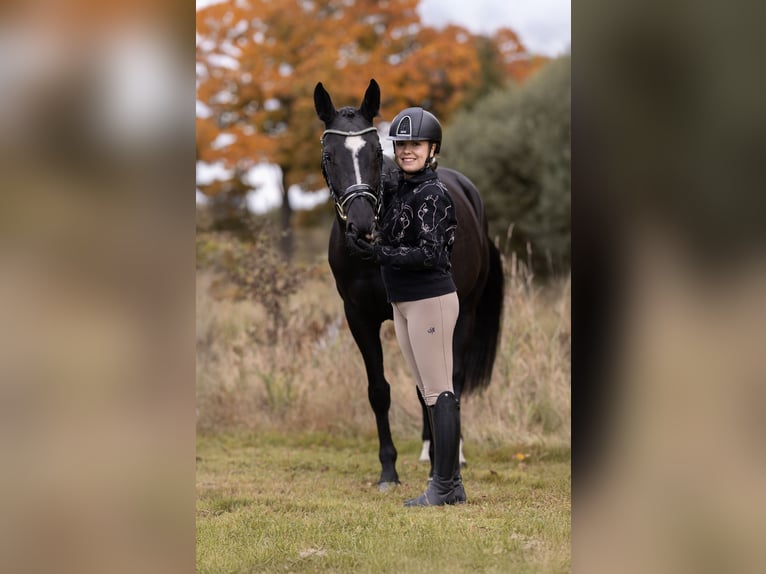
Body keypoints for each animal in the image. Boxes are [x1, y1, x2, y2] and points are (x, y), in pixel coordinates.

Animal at [314, 78, 504, 490]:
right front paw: (389, 469)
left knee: (451, 377)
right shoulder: (359, 317)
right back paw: (428, 450)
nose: (362, 227)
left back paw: (452, 455)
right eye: (329, 156)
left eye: (374, 151)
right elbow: (379, 390)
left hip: (464, 312)